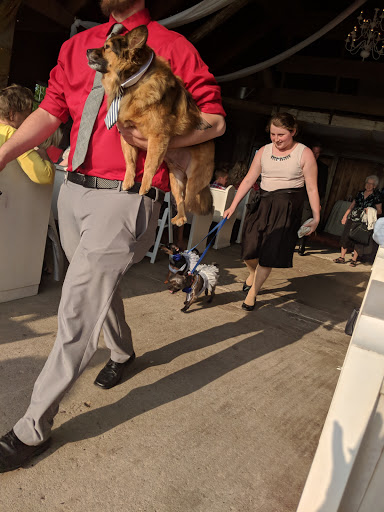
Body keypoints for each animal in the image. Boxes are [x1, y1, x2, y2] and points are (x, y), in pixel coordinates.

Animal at [86, 24, 216, 224]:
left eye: (107, 47)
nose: (86, 50)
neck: (130, 84)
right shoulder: (128, 137)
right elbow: (130, 160)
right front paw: (128, 181)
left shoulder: (158, 137)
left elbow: (148, 164)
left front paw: (144, 186)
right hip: (176, 180)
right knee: (180, 200)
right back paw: (179, 218)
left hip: (194, 182)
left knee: (189, 201)